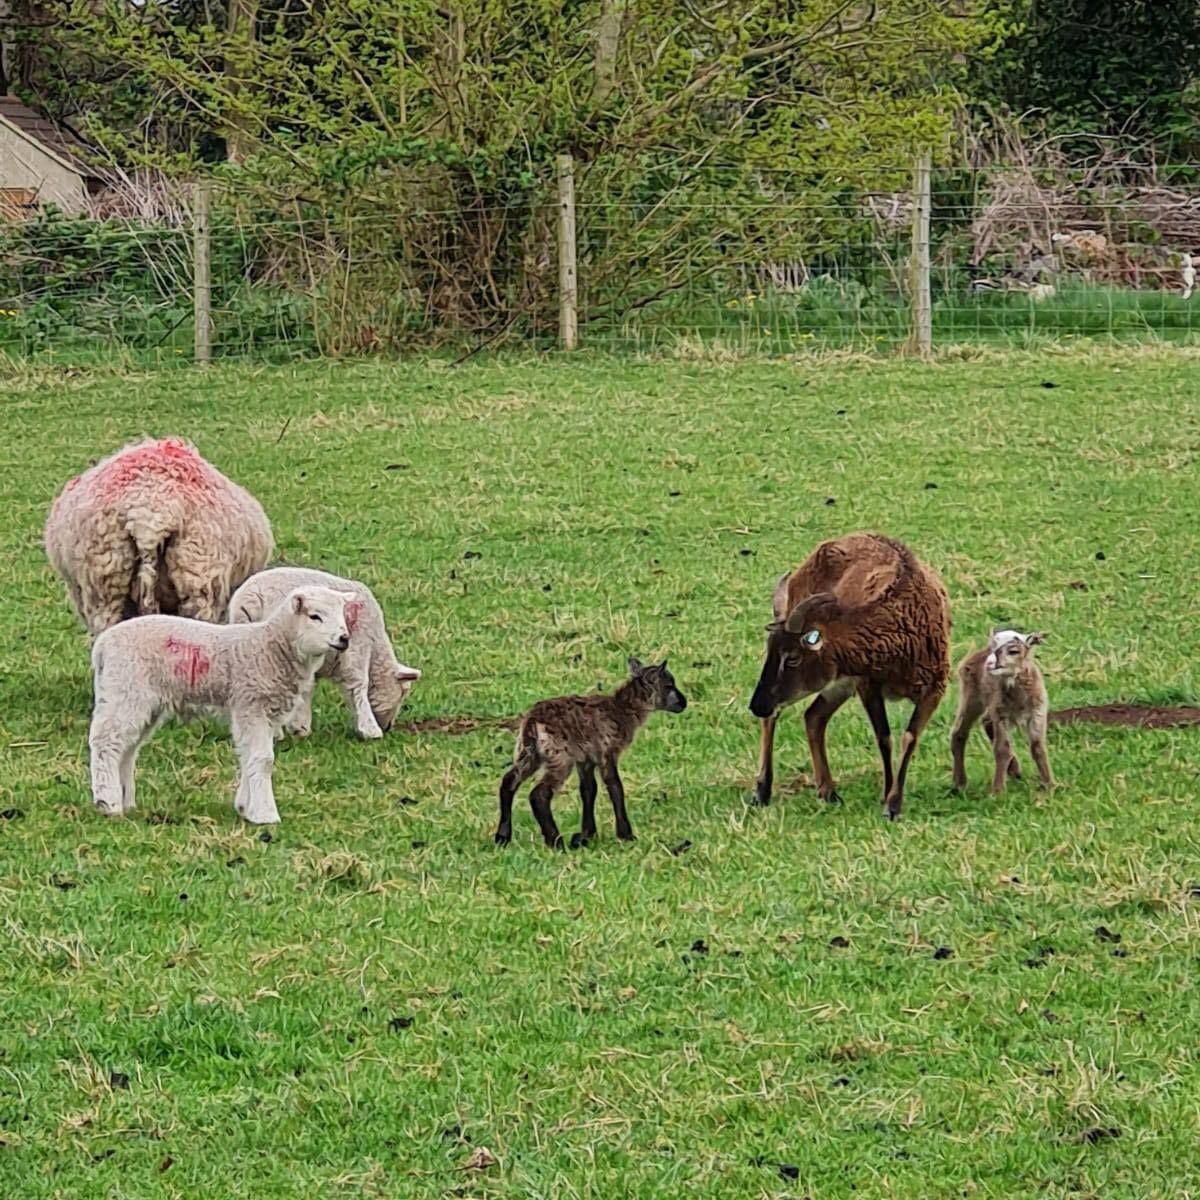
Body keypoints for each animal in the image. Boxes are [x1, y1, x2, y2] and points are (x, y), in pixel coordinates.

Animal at [88, 585, 357, 825]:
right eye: (315, 616)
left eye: (343, 615)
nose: (344, 639)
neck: (271, 647)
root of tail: (103, 645)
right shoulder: (251, 704)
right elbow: (263, 759)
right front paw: (265, 814)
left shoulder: (264, 712)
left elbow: (250, 755)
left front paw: (245, 807)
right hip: (126, 689)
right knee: (106, 742)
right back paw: (108, 802)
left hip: (142, 700)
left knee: (128, 748)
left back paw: (125, 800)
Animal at [229, 566, 421, 739]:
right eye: (403, 693)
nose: (388, 727)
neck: (376, 648)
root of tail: (250, 599)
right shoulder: (357, 649)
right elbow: (359, 685)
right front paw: (370, 730)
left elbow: (307, 690)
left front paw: (299, 727)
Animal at [495, 658, 688, 849]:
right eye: (669, 685)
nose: (683, 703)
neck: (623, 709)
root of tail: (533, 721)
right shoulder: (607, 753)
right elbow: (615, 787)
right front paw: (626, 835)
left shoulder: (585, 759)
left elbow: (588, 790)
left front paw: (587, 835)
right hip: (559, 757)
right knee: (539, 794)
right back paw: (556, 842)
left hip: (528, 752)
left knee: (509, 781)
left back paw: (502, 837)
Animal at [748, 532, 951, 820]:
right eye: (770, 651)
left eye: (793, 658)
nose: (756, 705)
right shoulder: (867, 683)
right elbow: (884, 737)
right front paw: (887, 798)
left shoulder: (935, 686)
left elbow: (909, 737)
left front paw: (893, 803)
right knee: (777, 718)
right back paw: (762, 791)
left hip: (839, 685)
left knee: (813, 717)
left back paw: (828, 792)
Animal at [950, 629, 1052, 795]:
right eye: (994, 647)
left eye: (1013, 651)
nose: (989, 663)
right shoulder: (1001, 714)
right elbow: (1002, 749)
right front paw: (997, 791)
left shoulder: (1037, 713)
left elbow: (1038, 747)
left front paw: (1050, 785)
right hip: (972, 695)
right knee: (959, 733)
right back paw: (959, 783)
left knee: (985, 721)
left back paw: (1015, 771)